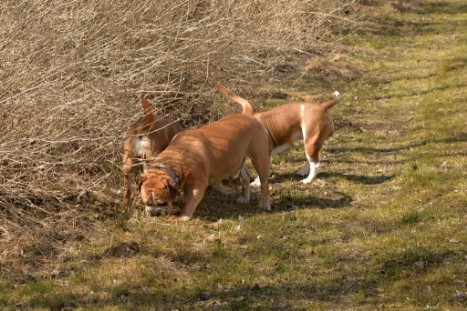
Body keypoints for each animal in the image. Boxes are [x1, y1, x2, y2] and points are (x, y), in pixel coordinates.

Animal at [139, 98, 270, 221]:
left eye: (162, 203)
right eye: (146, 203)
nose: (154, 213)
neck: (176, 160)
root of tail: (248, 115)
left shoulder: (200, 184)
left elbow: (191, 201)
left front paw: (184, 216)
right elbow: (187, 196)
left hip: (260, 158)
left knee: (264, 183)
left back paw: (265, 204)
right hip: (238, 160)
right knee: (245, 178)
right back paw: (244, 198)